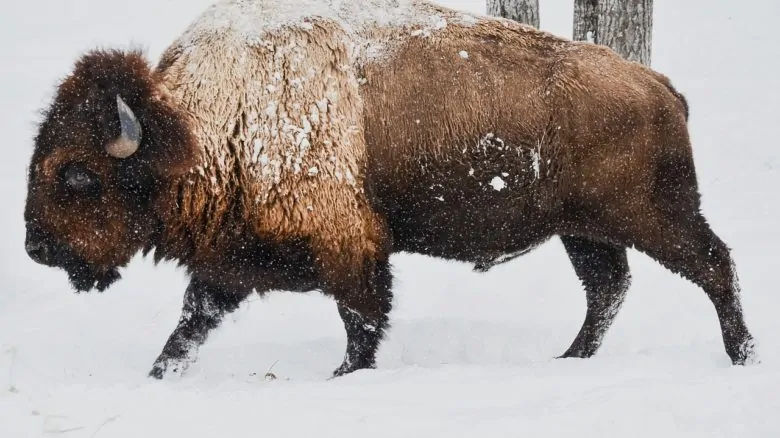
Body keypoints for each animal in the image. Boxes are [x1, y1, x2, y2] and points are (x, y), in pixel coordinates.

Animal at [22, 0, 756, 376]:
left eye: (76, 171)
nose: (35, 248)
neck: (194, 123)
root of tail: (657, 85)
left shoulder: (352, 250)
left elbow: (362, 323)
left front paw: (344, 378)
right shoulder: (229, 262)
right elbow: (188, 327)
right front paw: (158, 377)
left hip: (654, 216)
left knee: (712, 265)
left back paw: (740, 356)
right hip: (583, 231)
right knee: (608, 288)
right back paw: (569, 361)